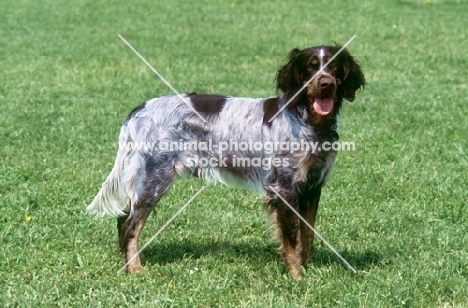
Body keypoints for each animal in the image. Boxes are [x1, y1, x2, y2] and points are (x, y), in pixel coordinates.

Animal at [88, 45, 366, 280]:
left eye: (334, 67)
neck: (306, 119)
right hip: (155, 178)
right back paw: (134, 268)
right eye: (311, 66)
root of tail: (139, 109)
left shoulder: (311, 186)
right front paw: (297, 276)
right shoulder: (285, 189)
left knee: (124, 218)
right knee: (130, 224)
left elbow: (306, 234)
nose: (326, 84)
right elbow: (292, 240)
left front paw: (307, 267)